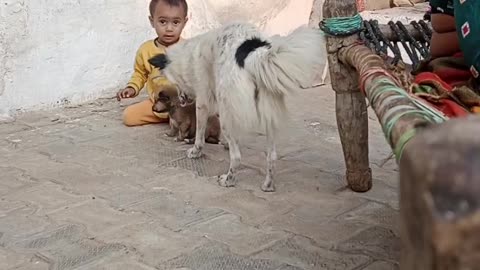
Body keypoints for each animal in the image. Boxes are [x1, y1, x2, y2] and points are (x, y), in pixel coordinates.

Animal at [148, 22, 324, 192]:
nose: (182, 100)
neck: (190, 56)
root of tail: (254, 54)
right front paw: (224, 144)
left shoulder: (204, 102)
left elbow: (200, 133)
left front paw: (196, 151)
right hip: (268, 115)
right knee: (272, 156)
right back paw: (268, 185)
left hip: (228, 115)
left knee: (237, 157)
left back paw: (228, 180)